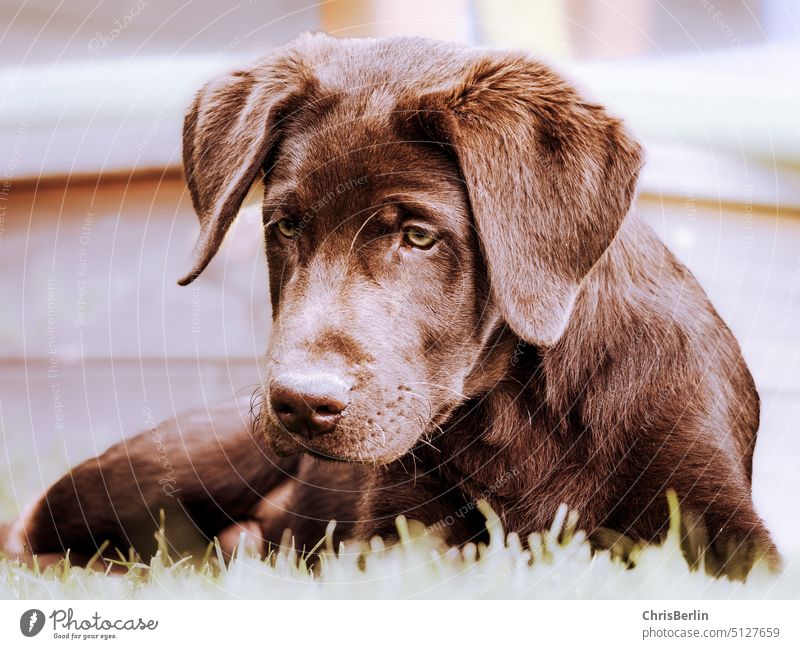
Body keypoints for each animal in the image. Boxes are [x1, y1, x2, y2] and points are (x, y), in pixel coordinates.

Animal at [0, 33, 780, 576]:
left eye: (418, 235)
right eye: (285, 226)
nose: (298, 403)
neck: (521, 404)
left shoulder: (721, 522)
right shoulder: (392, 532)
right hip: (189, 460)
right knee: (39, 534)